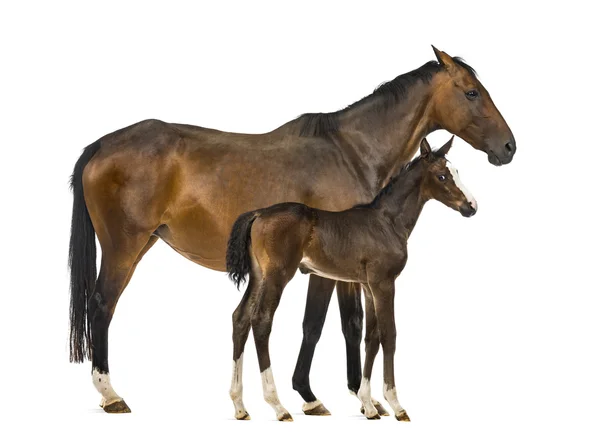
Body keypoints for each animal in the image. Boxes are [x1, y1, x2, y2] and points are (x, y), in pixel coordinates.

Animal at [227, 137, 476, 420]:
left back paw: (239, 406)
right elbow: (389, 335)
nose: (471, 207)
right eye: (442, 176)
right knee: (261, 320)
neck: (386, 222)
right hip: (276, 276)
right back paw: (278, 406)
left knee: (240, 318)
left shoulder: (368, 286)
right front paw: (396, 404)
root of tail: (258, 214)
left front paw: (369, 405)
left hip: (258, 276)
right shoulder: (384, 283)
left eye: (457, 171)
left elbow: (371, 337)